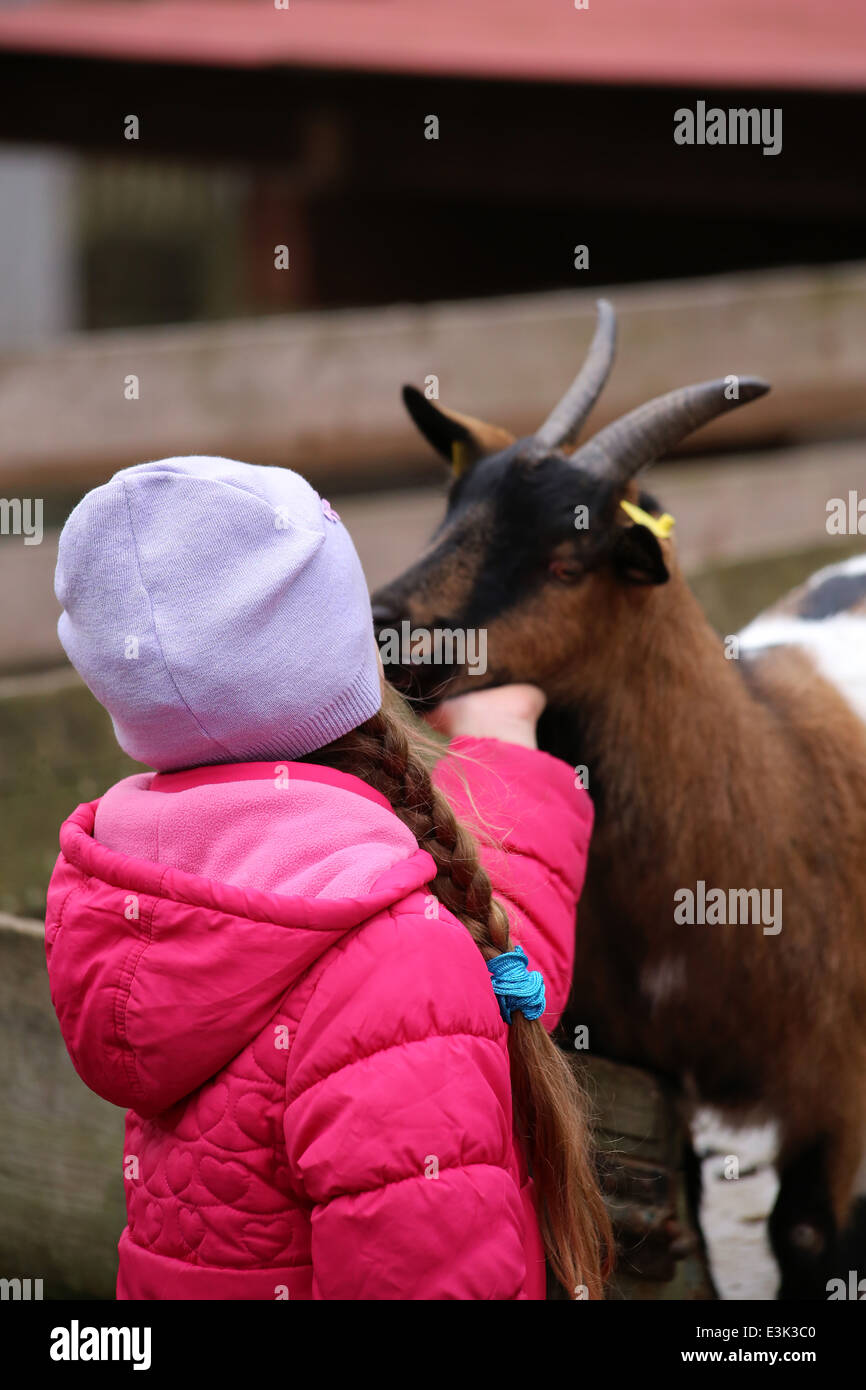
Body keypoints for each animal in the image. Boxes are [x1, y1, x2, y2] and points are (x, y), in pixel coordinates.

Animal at [375, 301, 866, 1289]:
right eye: (451, 514)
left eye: (570, 561)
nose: (383, 625)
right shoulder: (649, 1066)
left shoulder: (838, 1078)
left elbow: (806, 1234)